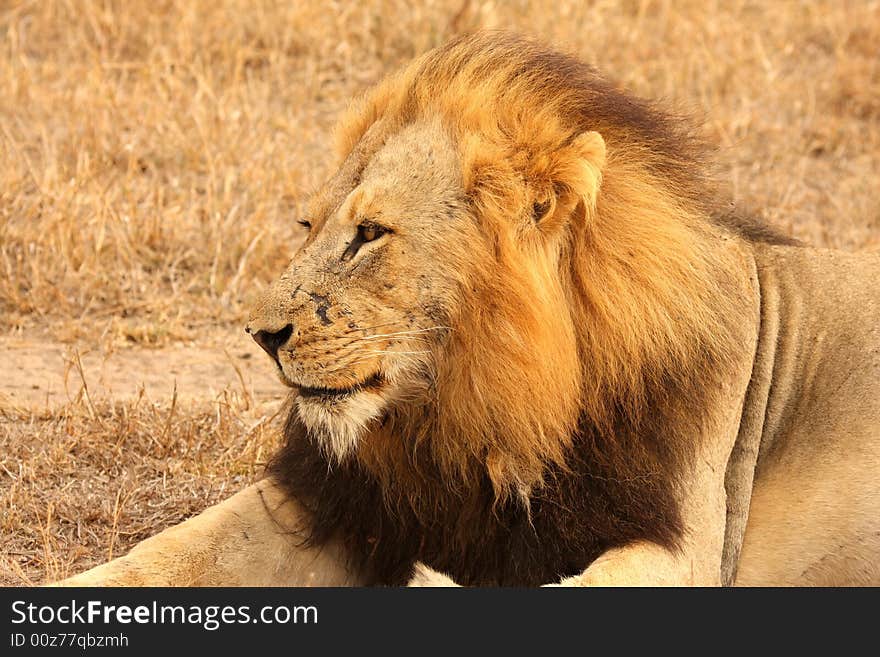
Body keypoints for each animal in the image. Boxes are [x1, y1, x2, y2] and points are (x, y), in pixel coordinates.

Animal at [58, 30, 876, 588]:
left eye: (370, 233)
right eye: (307, 225)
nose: (261, 335)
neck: (471, 409)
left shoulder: (685, 545)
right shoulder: (340, 504)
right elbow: (166, 551)